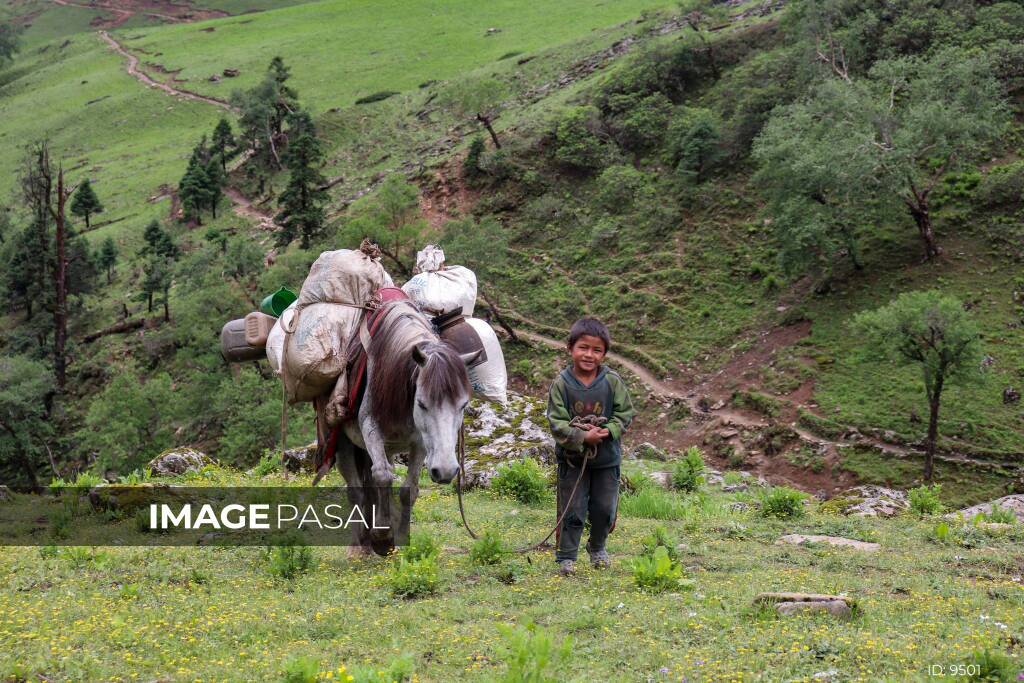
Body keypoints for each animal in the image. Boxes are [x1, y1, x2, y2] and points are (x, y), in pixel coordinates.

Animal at [333, 301, 481, 557]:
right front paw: (383, 537)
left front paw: (401, 536)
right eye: (421, 403)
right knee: (356, 489)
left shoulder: (419, 442)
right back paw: (358, 544)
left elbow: (408, 488)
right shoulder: (370, 427)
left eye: (463, 405)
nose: (446, 471)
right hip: (344, 442)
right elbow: (382, 475)